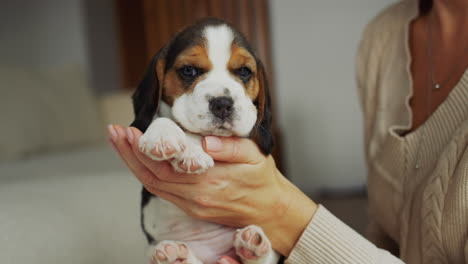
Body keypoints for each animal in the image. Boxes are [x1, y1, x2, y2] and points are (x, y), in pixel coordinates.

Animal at [130, 18, 280, 264]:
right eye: (189, 70)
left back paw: (252, 244)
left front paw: (192, 151)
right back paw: (174, 254)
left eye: (244, 71)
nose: (223, 104)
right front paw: (164, 137)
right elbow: (165, 119)